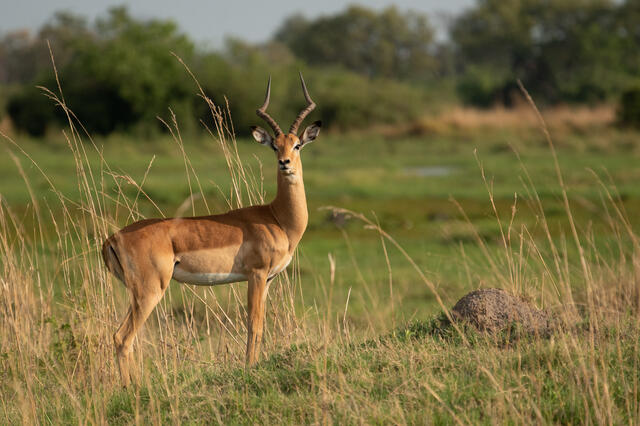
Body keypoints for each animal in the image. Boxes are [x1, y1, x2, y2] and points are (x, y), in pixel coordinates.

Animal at [101, 74, 321, 387]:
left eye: (297, 145)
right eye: (275, 146)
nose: (285, 163)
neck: (277, 218)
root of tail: (112, 238)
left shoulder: (267, 280)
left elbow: (260, 325)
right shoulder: (256, 275)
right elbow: (253, 325)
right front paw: (249, 368)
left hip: (138, 294)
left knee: (125, 338)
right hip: (150, 291)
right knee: (122, 337)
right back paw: (130, 387)